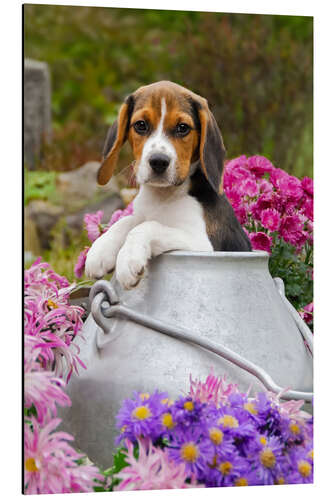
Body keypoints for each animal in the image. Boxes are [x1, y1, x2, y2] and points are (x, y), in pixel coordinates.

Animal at [84, 79, 250, 288]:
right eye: (140, 125)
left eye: (182, 128)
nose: (158, 161)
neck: (163, 196)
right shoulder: (142, 214)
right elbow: (127, 220)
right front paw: (100, 249)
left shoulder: (201, 242)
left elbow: (148, 226)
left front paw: (128, 259)